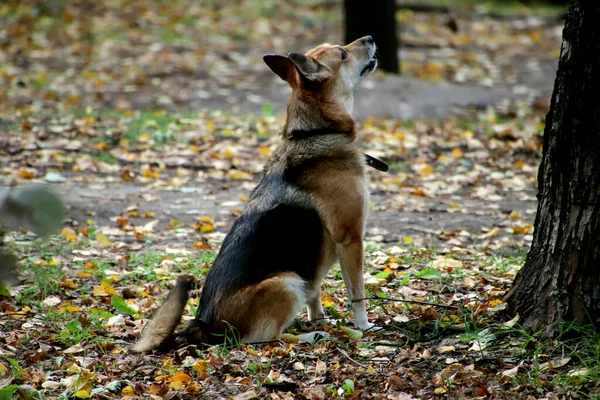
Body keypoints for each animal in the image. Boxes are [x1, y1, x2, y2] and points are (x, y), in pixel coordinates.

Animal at [134, 36, 382, 352]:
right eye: (343, 53)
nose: (371, 38)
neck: (314, 133)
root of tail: (201, 326)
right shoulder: (350, 238)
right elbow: (357, 294)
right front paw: (363, 327)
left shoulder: (312, 264)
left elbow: (315, 295)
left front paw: (321, 320)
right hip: (286, 282)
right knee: (263, 339)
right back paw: (311, 337)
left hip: (294, 278)